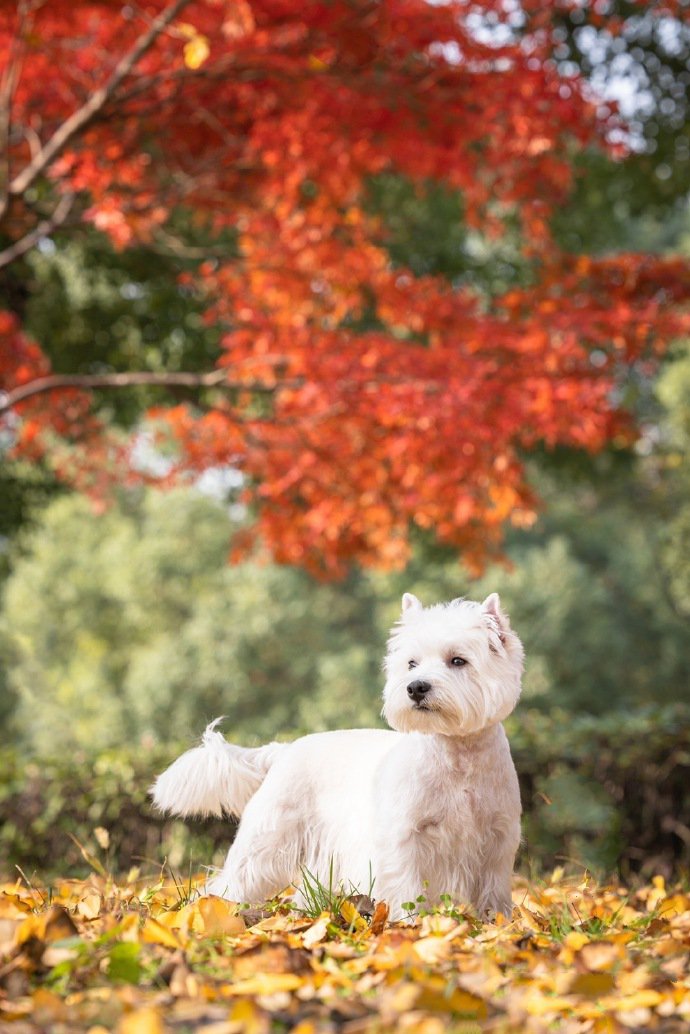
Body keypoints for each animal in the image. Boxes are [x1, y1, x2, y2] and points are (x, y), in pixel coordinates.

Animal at [151, 595, 521, 918]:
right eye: (411, 663)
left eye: (458, 660)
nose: (416, 687)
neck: (457, 753)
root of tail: (285, 750)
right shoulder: (405, 837)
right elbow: (407, 887)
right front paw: (408, 922)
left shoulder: (498, 840)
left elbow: (493, 890)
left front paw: (497, 923)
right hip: (267, 839)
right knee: (233, 879)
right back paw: (213, 910)